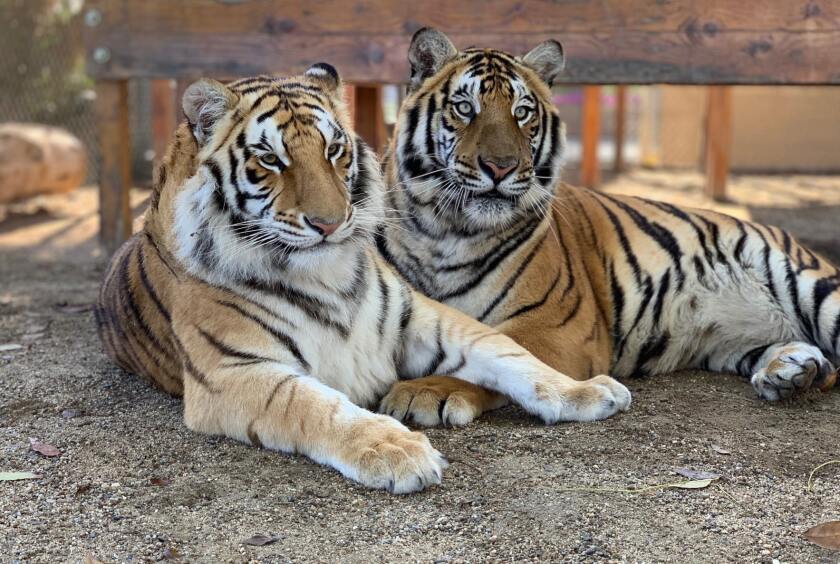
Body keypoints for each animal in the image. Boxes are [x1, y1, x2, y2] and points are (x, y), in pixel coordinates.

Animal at [93, 62, 632, 494]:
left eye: (334, 150)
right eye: (270, 159)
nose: (330, 224)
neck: (325, 276)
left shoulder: (420, 317)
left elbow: (508, 352)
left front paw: (586, 392)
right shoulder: (234, 371)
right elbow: (316, 406)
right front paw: (398, 451)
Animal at [376, 28, 840, 428]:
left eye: (522, 113)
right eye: (464, 108)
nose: (500, 167)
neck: (443, 232)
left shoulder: (555, 327)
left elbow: (496, 355)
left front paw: (423, 392)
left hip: (816, 288)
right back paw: (794, 371)